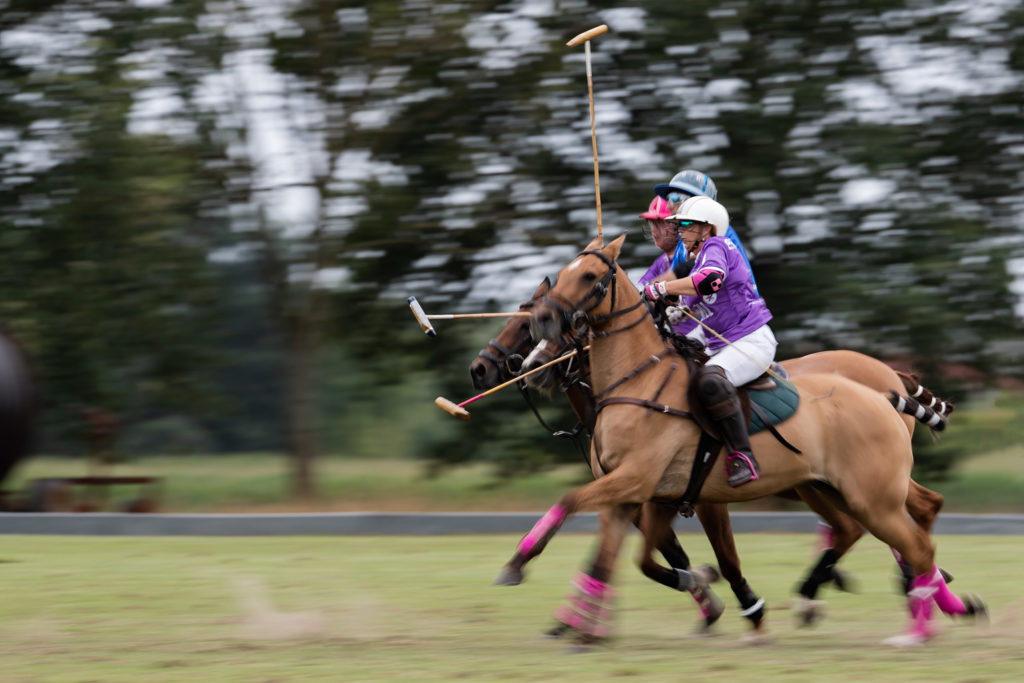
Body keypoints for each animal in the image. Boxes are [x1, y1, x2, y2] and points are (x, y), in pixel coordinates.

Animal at [495, 237, 983, 651]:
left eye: (591, 277)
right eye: (563, 272)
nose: (533, 359)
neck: (638, 380)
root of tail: (884, 391)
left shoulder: (643, 482)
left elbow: (573, 503)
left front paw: (518, 567)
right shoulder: (642, 494)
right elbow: (617, 558)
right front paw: (580, 627)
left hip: (871, 496)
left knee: (914, 541)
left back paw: (918, 622)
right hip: (835, 490)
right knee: (881, 530)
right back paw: (924, 604)